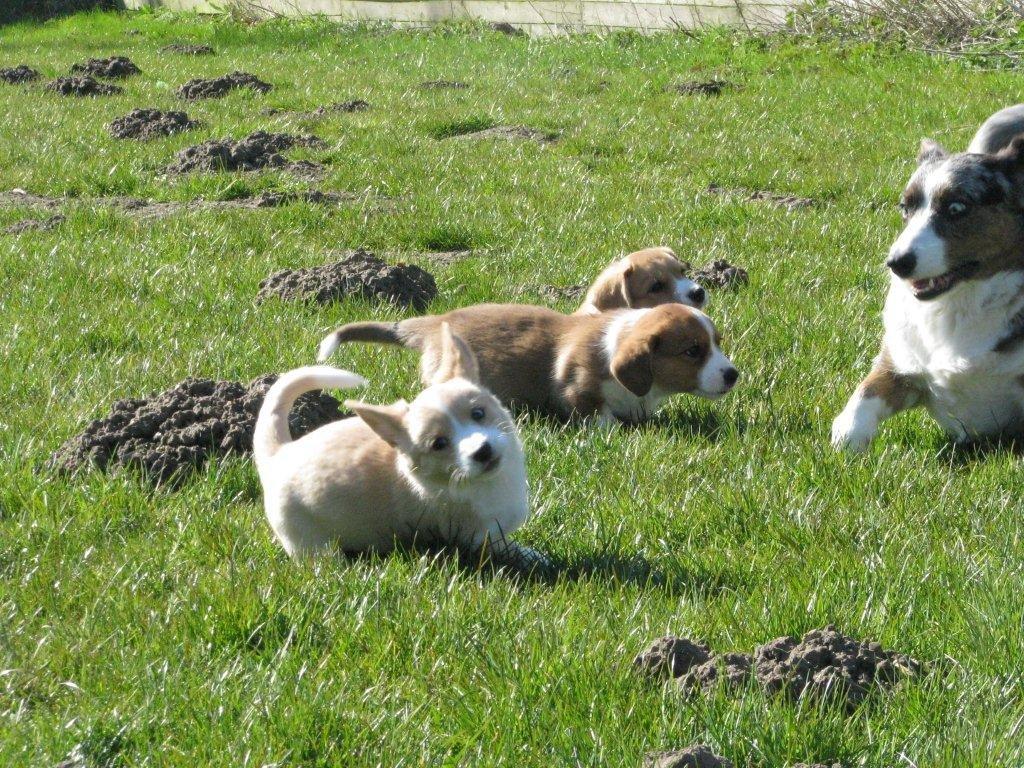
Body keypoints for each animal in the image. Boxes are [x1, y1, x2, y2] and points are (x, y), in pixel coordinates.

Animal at [253, 325, 528, 561]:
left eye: (478, 414)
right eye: (439, 444)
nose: (482, 451)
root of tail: (278, 453)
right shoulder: (477, 538)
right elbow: (509, 549)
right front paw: (531, 558)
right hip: (310, 541)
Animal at [319, 303, 737, 423]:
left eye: (716, 343)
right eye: (693, 351)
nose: (733, 375)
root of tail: (434, 324)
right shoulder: (580, 391)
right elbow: (600, 416)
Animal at [827, 107, 1024, 450]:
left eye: (957, 207)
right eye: (905, 207)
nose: (896, 263)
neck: (960, 305)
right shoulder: (899, 364)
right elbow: (864, 397)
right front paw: (846, 435)